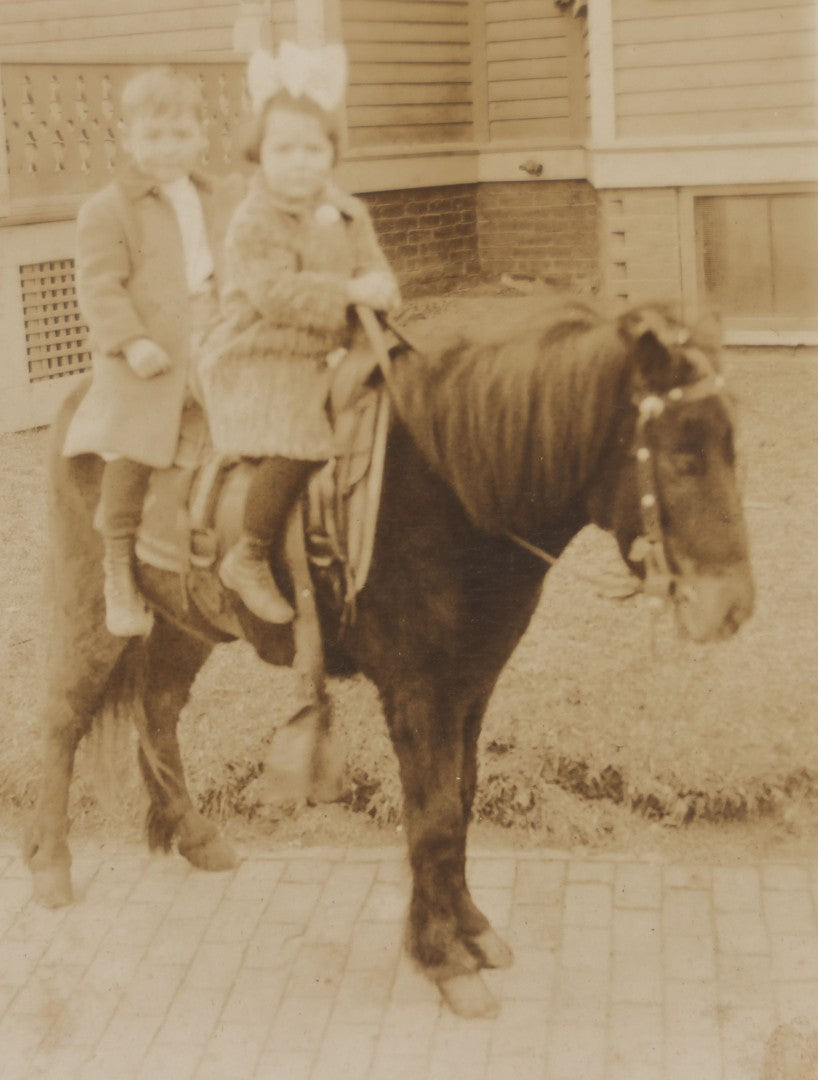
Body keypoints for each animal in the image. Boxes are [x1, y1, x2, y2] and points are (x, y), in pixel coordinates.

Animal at [24, 300, 754, 1018]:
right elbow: (431, 819)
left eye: (730, 450)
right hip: (94, 608)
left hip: (186, 623)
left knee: (156, 709)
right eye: (682, 460)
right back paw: (51, 863)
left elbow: (460, 801)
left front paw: (471, 930)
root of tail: (79, 400)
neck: (453, 486)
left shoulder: (471, 685)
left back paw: (194, 836)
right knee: (62, 720)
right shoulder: (417, 690)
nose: (733, 606)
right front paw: (442, 958)